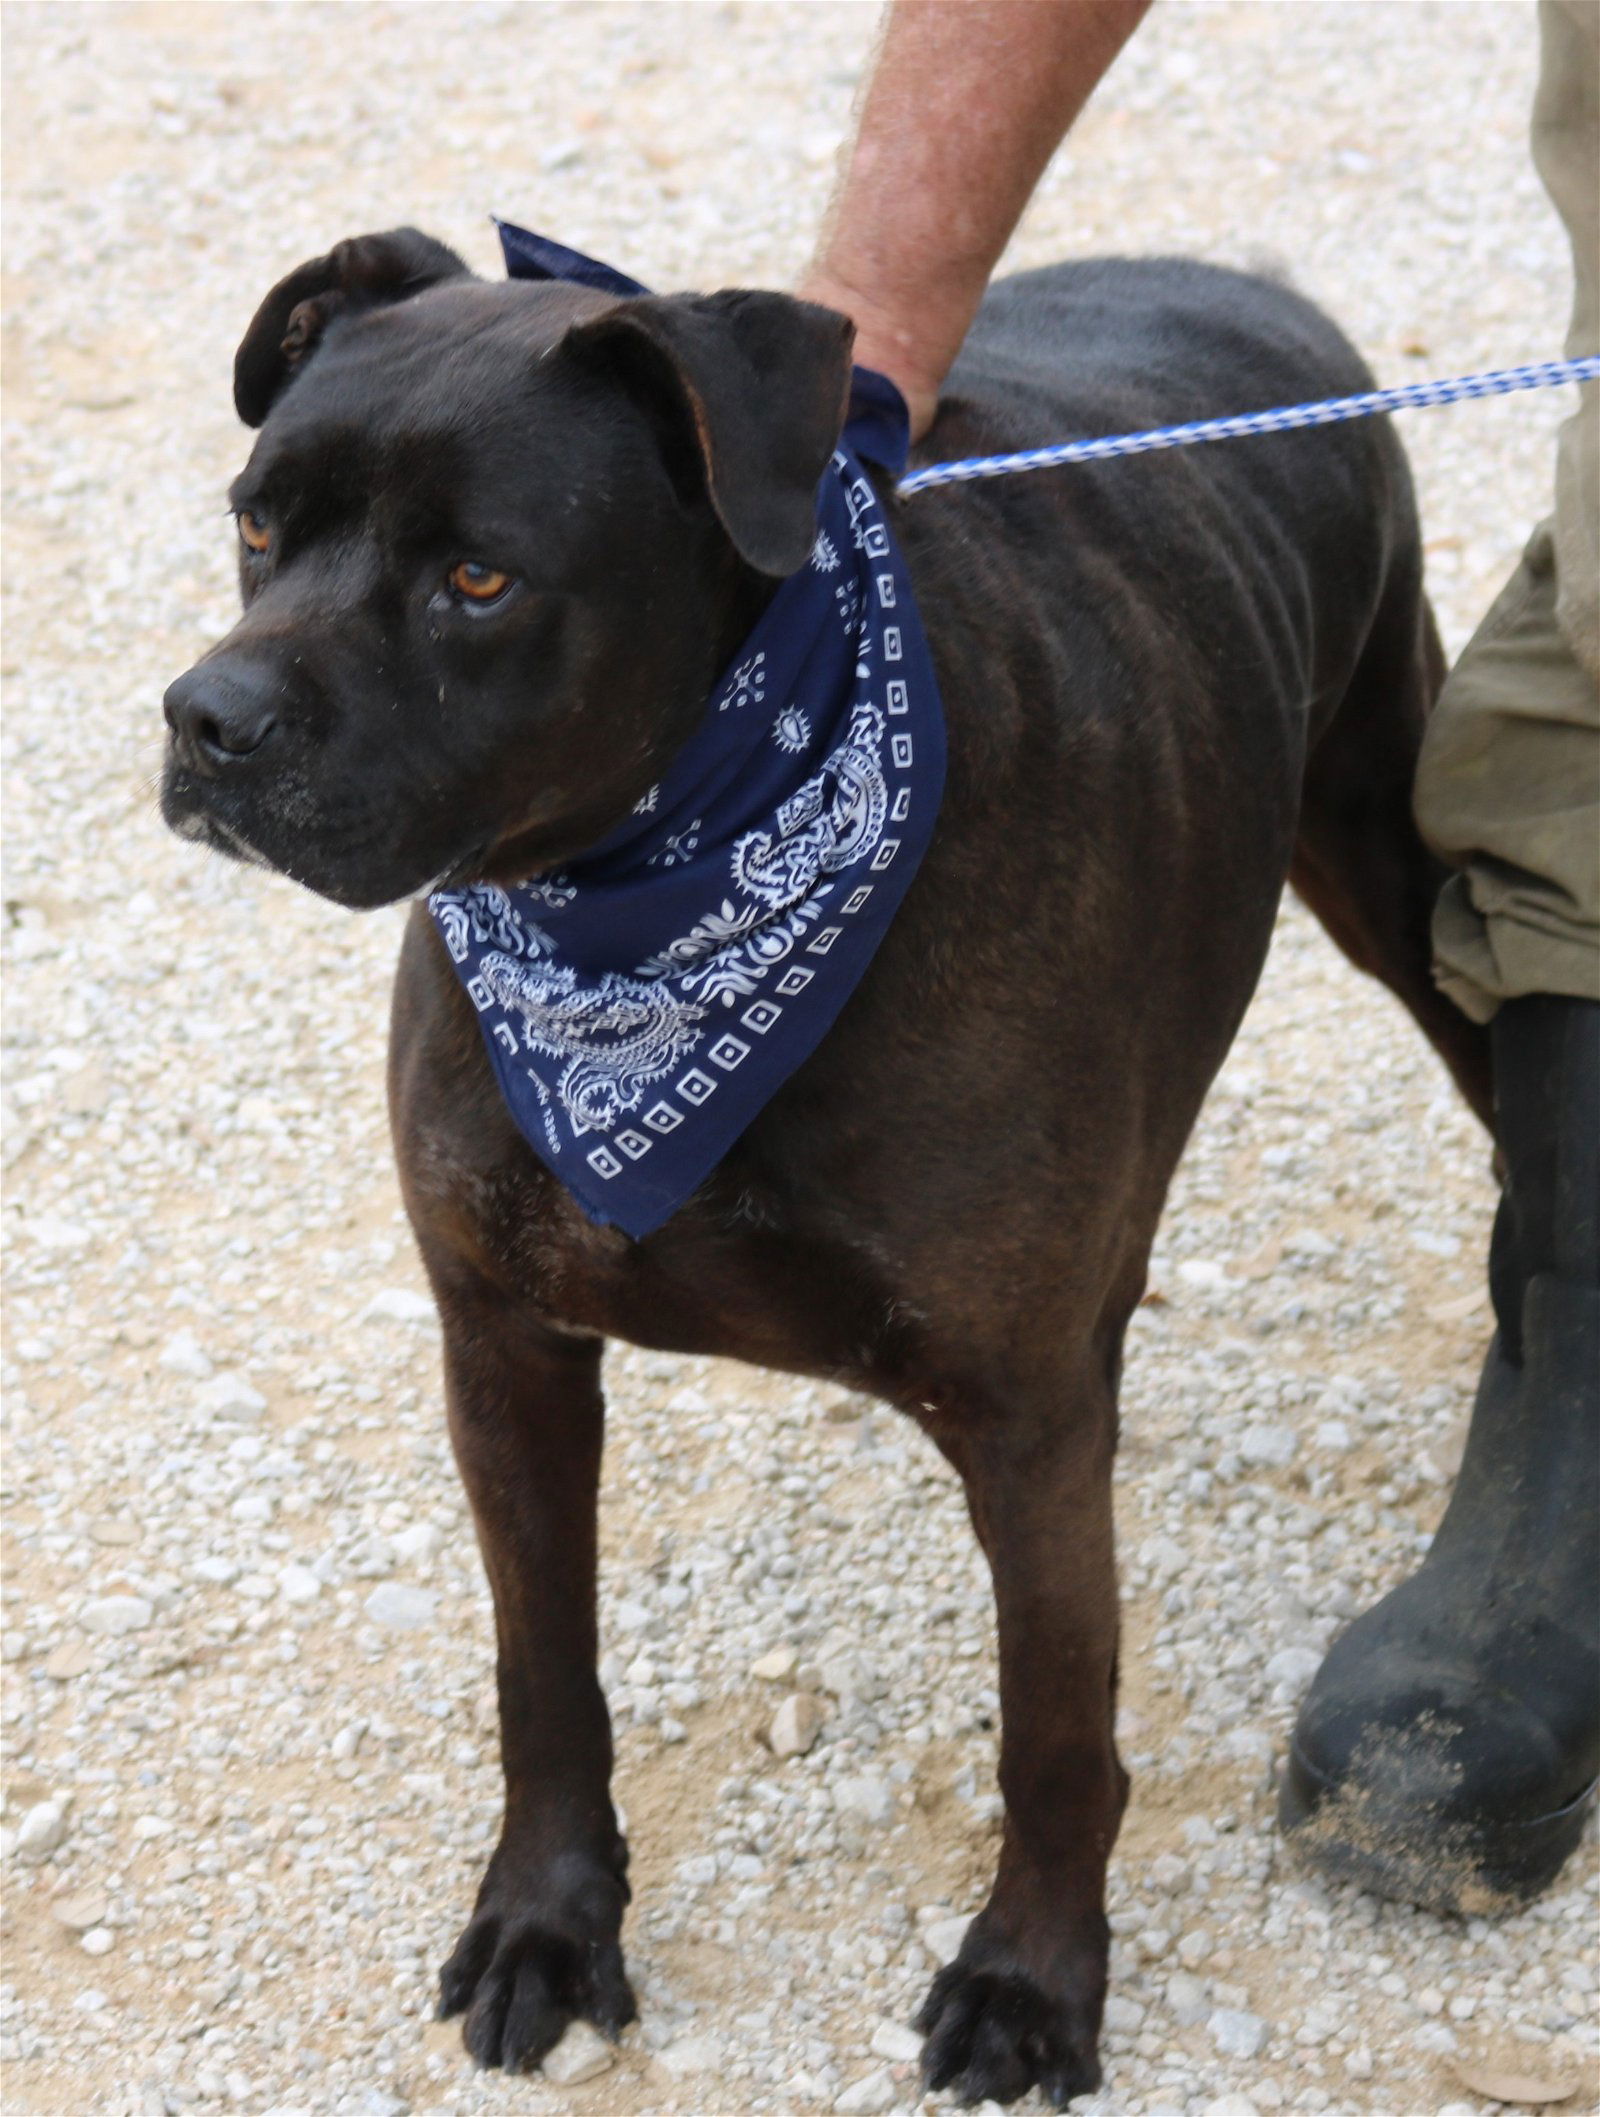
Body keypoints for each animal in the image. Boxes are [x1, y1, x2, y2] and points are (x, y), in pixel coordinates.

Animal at [159, 223, 1489, 2108]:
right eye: (259, 527)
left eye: (480, 580)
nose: (206, 716)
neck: (658, 897)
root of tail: (1248, 283)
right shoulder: (502, 1343)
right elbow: (542, 1672)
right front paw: (549, 1918)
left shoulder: (1024, 1421)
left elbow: (1056, 1726)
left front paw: (1031, 1977)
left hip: (1401, 862)